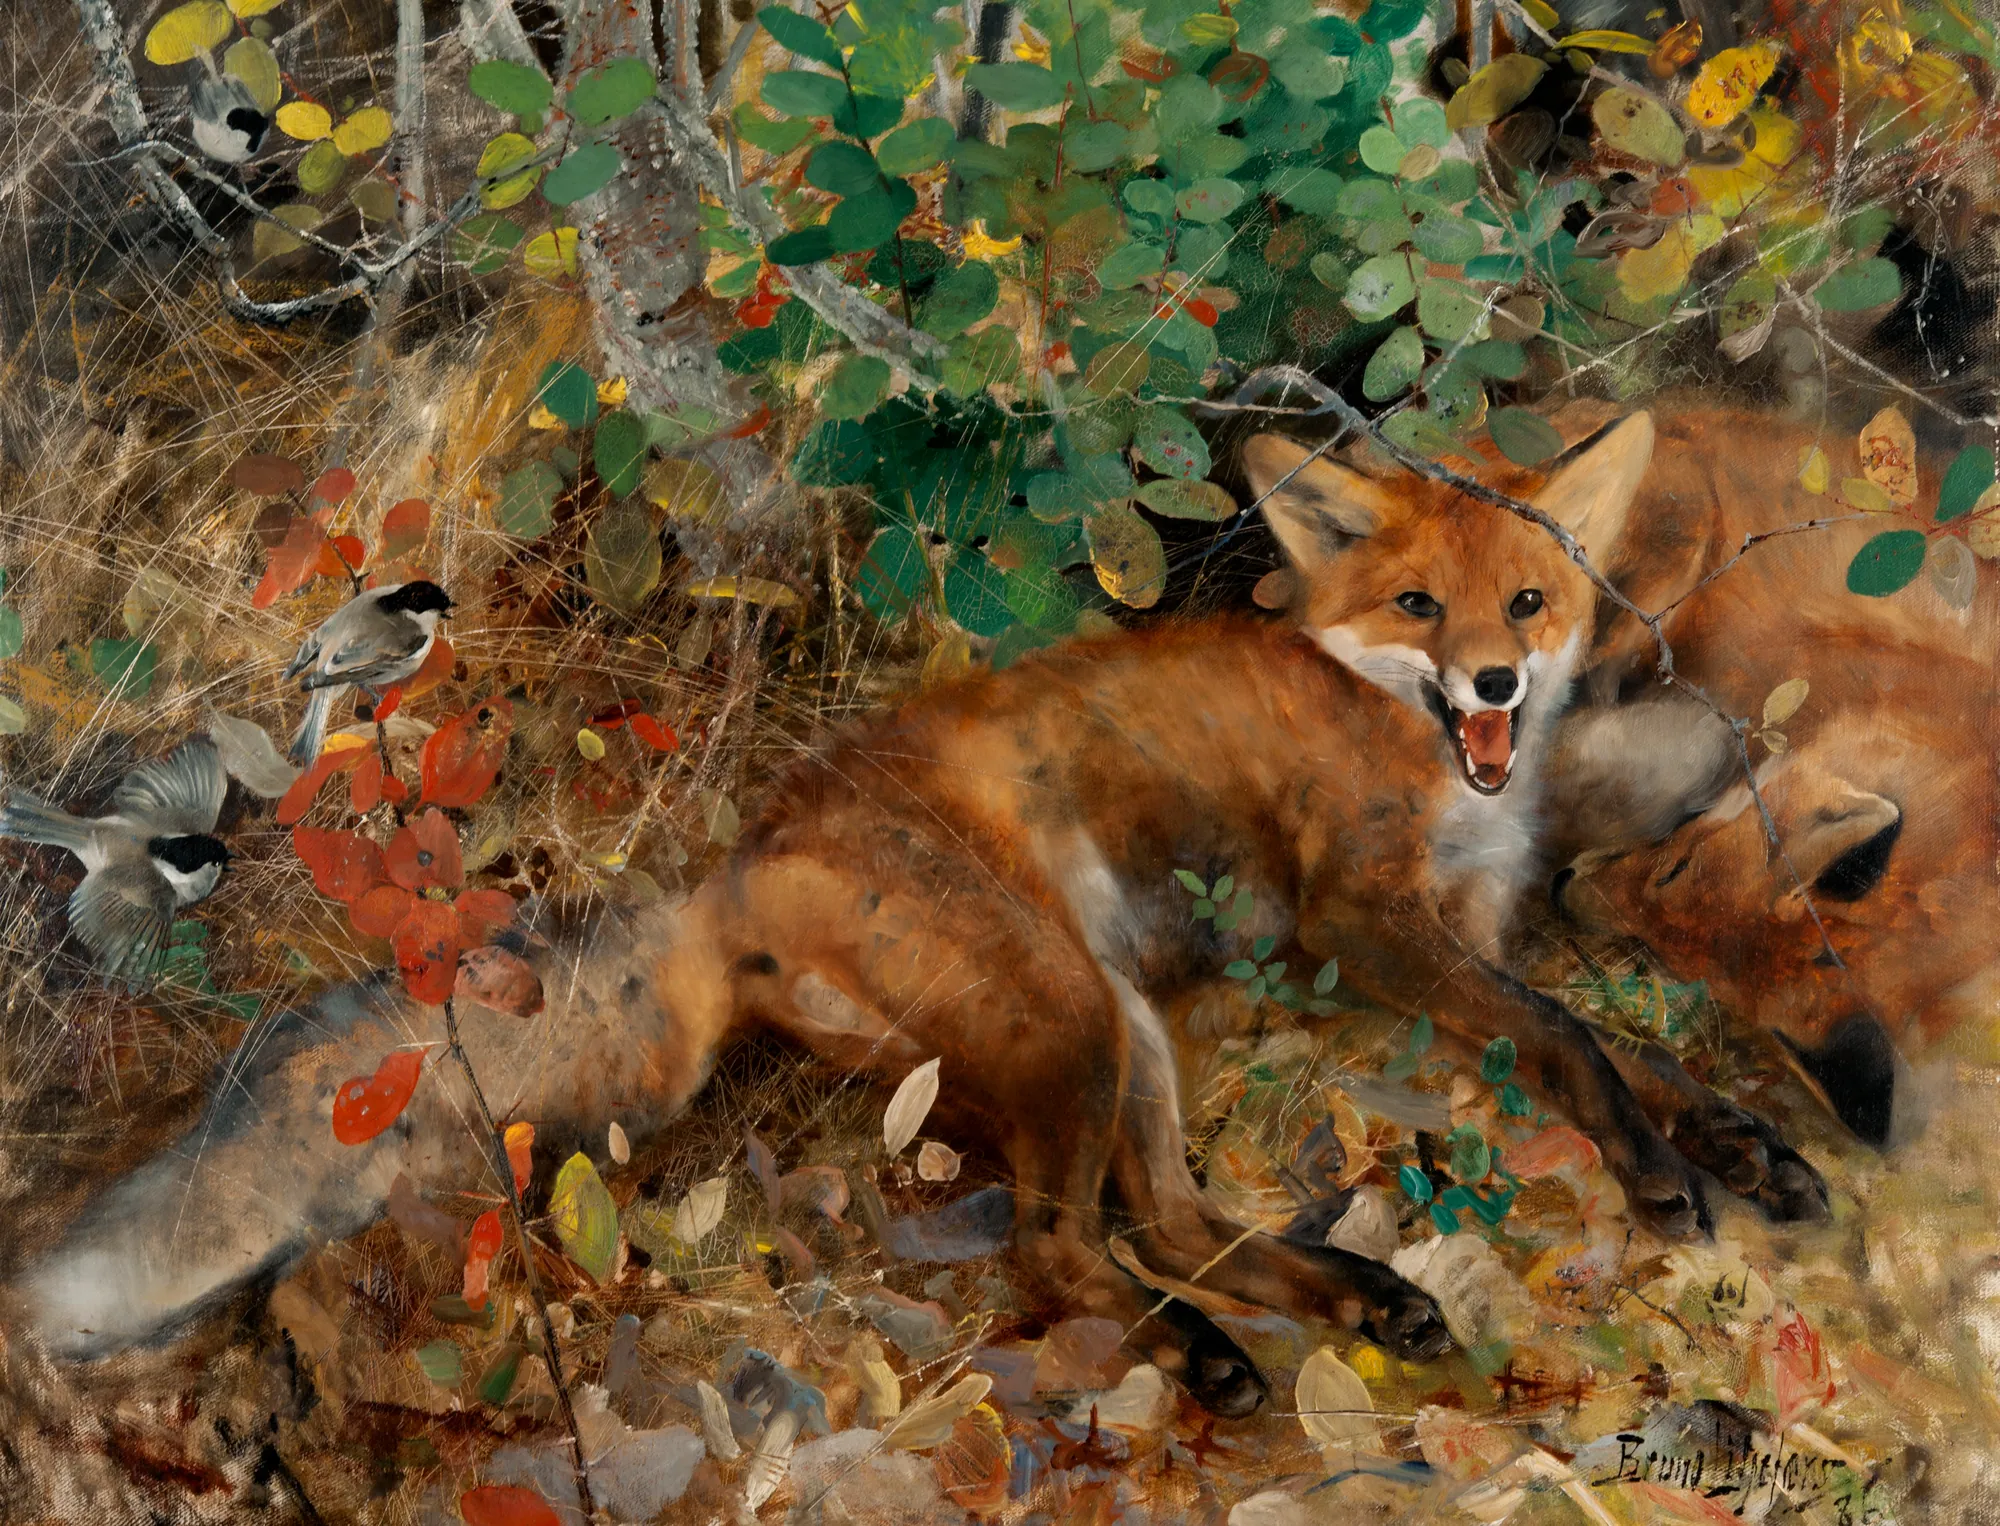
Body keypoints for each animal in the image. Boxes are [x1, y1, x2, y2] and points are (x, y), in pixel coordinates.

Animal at [12, 410, 1824, 1416]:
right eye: (1421, 607)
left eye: (1529, 599)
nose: (1501, 682)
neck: (1425, 756)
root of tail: (733, 864)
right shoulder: (1370, 924)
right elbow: (1577, 1040)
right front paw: (1666, 1176)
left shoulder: (1474, 930)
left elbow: (1637, 1049)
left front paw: (1746, 1144)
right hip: (1071, 1018)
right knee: (1064, 1245)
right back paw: (1210, 1359)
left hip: (1121, 1025)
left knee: (1167, 1221)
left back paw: (1348, 1302)